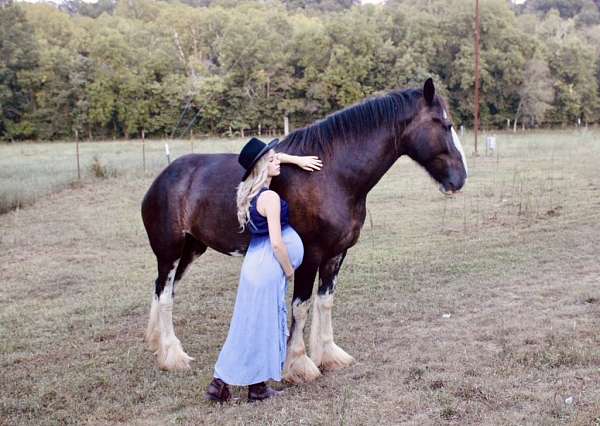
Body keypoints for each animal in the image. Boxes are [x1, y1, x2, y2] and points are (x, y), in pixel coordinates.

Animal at [142, 79, 468, 382]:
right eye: (445, 124)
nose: (460, 178)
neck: (332, 177)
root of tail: (164, 177)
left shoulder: (336, 255)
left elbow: (325, 302)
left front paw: (329, 355)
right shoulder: (309, 257)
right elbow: (301, 307)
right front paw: (299, 365)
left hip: (191, 250)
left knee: (162, 291)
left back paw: (157, 346)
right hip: (170, 252)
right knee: (166, 296)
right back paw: (173, 356)